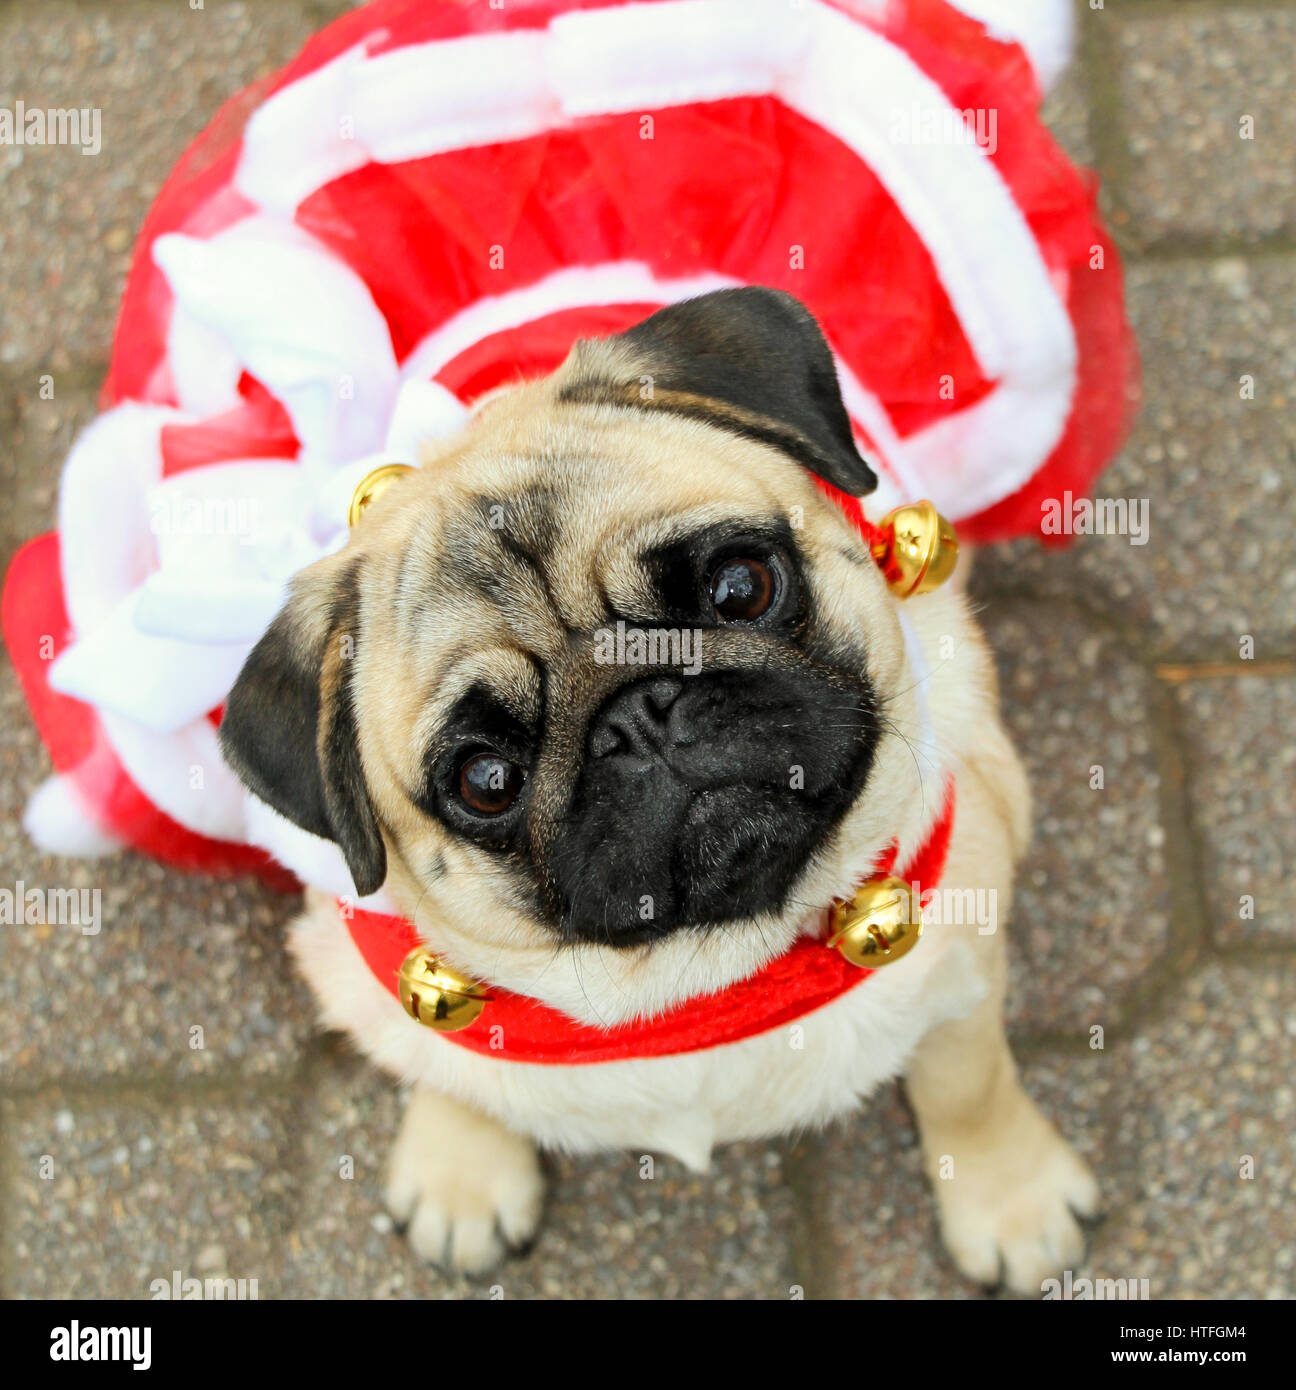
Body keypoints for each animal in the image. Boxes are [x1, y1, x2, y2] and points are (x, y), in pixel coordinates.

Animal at [219, 290, 1095, 1289]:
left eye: (740, 587)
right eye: (485, 780)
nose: (634, 716)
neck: (706, 986)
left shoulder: (964, 963)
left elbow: (969, 1086)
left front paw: (1011, 1198)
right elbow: (444, 1061)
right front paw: (461, 1171)